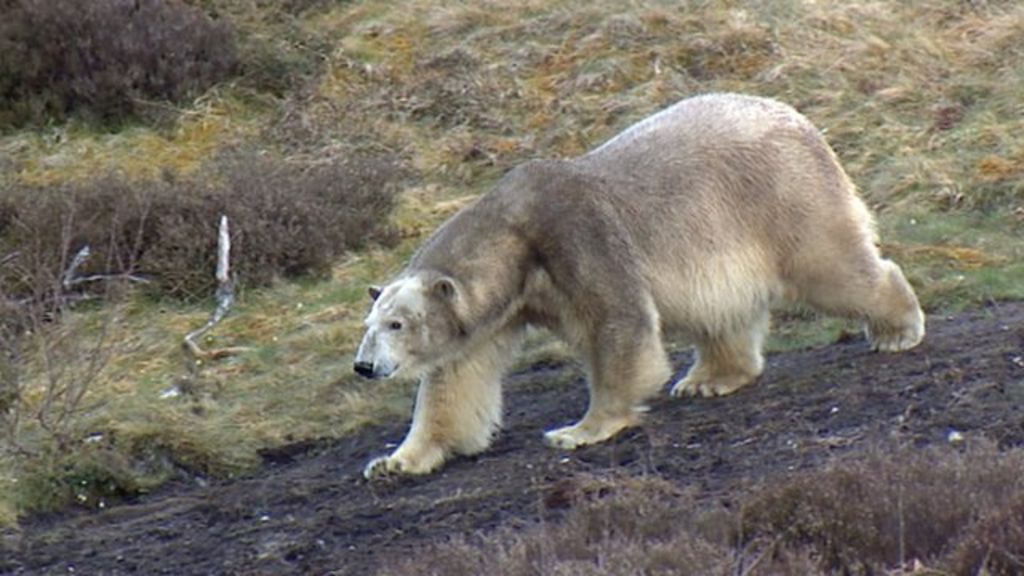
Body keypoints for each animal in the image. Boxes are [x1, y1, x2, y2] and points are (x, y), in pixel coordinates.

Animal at [354, 92, 925, 479]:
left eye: (397, 324)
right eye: (370, 323)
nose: (363, 366)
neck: (513, 234)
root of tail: (800, 119)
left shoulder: (579, 238)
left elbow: (619, 323)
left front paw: (578, 431)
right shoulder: (501, 308)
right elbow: (456, 380)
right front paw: (394, 461)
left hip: (783, 194)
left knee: (830, 266)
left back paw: (897, 327)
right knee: (720, 308)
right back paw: (709, 378)